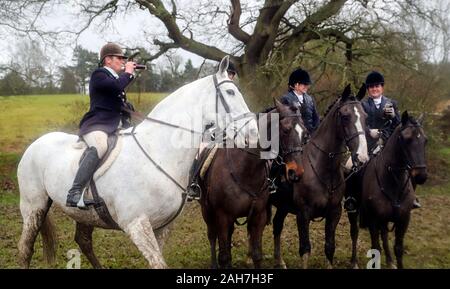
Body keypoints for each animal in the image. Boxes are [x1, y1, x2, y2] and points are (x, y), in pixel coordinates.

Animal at [16, 56, 256, 268]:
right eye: (231, 92)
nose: (253, 134)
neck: (159, 151)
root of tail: (35, 143)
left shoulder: (163, 227)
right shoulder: (137, 225)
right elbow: (158, 263)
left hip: (84, 214)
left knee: (83, 241)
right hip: (33, 207)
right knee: (25, 249)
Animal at [200, 100, 308, 268]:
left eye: (305, 133)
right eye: (285, 130)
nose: (296, 173)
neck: (245, 168)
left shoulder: (258, 216)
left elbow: (257, 255)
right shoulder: (222, 216)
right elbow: (224, 256)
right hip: (207, 211)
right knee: (212, 236)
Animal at [268, 83, 370, 268]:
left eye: (365, 116)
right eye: (345, 116)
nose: (362, 157)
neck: (323, 169)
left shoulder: (334, 213)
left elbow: (329, 247)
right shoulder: (303, 214)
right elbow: (305, 249)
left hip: (283, 206)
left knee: (277, 226)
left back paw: (280, 261)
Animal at [346, 111, 428, 268]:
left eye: (425, 140)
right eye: (406, 139)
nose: (421, 175)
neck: (393, 182)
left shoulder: (403, 220)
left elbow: (398, 248)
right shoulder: (373, 219)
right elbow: (375, 247)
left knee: (384, 235)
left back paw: (389, 261)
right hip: (353, 210)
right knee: (354, 232)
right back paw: (353, 261)